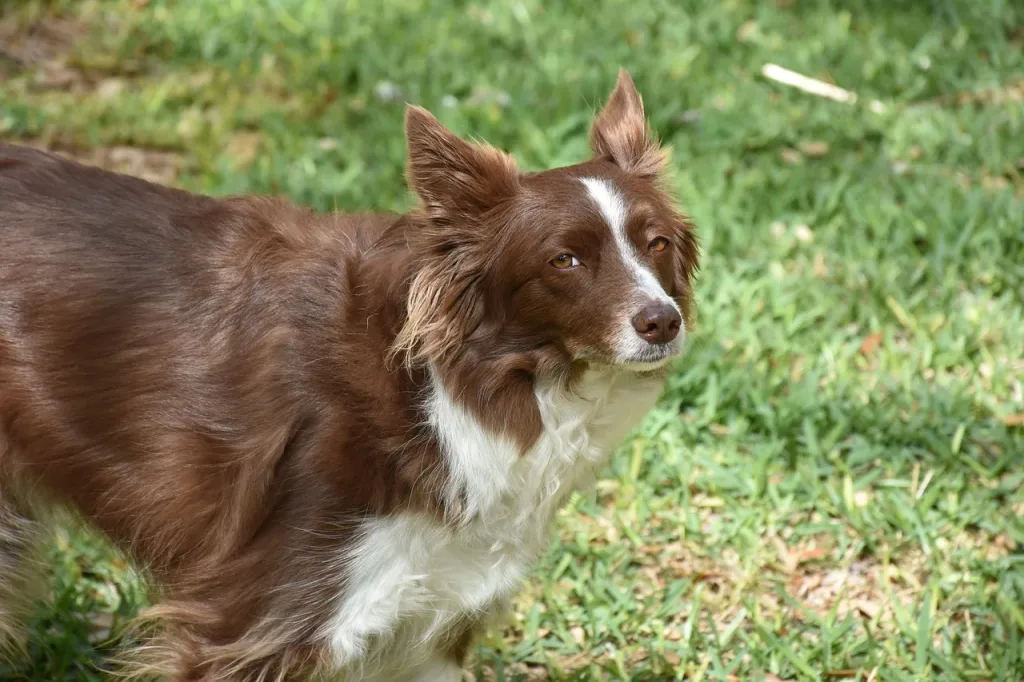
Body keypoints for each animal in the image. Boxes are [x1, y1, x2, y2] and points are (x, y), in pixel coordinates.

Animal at [0, 70, 696, 679]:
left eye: (657, 243)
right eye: (564, 260)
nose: (662, 322)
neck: (445, 392)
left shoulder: (436, 624)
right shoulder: (253, 621)